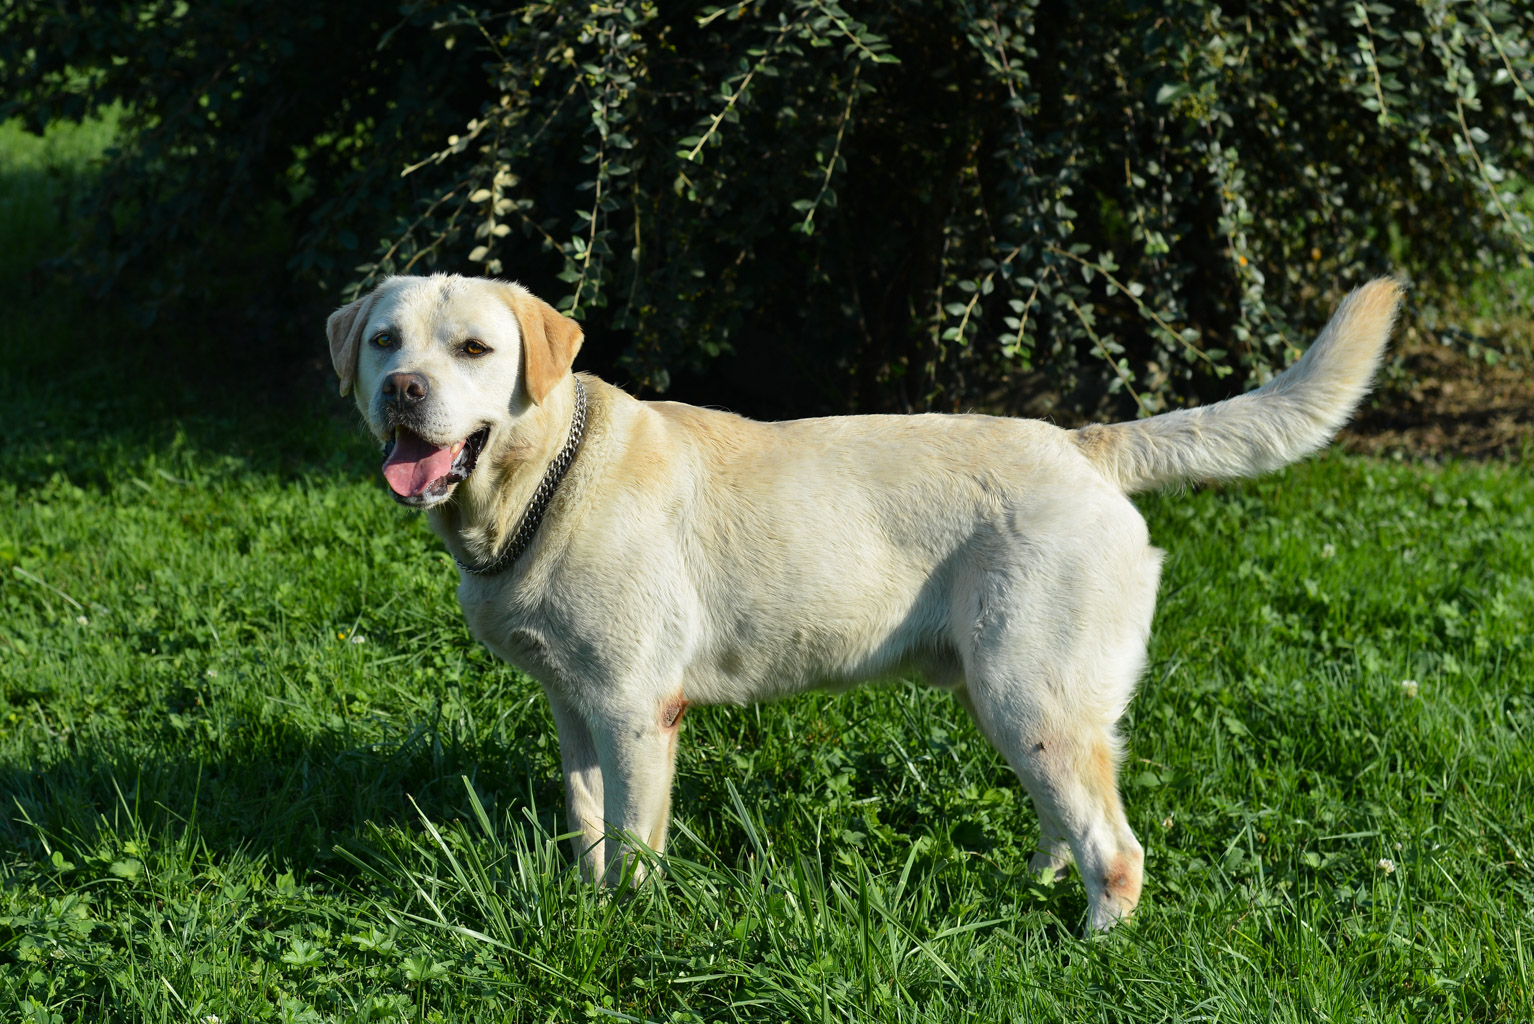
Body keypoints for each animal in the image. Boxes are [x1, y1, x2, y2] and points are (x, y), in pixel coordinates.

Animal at [326, 271, 1405, 925]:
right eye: (384, 340)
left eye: (474, 349)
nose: (403, 389)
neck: (545, 478)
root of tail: (1084, 444)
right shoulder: (574, 710)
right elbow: (589, 826)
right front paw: (586, 908)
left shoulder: (637, 712)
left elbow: (635, 843)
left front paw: (630, 926)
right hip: (1016, 701)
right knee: (1071, 821)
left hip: (1031, 695)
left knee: (1119, 849)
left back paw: (1086, 948)